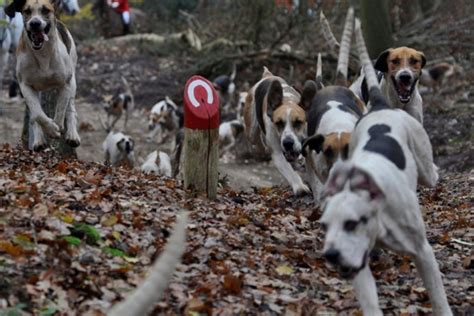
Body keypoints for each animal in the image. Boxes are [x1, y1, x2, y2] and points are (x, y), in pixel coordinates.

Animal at [5, 0, 80, 152]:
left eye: (45, 10)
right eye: (27, 11)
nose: (35, 23)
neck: (43, 54)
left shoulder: (66, 83)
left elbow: (61, 108)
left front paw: (57, 127)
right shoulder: (26, 86)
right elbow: (38, 114)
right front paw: (51, 129)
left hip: (73, 80)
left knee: (70, 108)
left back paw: (72, 135)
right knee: (34, 115)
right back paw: (39, 140)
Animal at [243, 66, 312, 195]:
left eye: (298, 122)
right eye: (279, 123)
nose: (288, 143)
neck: (288, 101)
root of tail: (267, 76)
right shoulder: (278, 153)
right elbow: (289, 171)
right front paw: (300, 187)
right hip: (252, 133)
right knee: (255, 142)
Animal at [318, 18, 452, 314]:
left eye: (351, 223)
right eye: (325, 226)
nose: (331, 255)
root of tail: (380, 107)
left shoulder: (423, 253)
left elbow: (439, 297)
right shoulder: (357, 259)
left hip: (425, 166)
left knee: (431, 173)